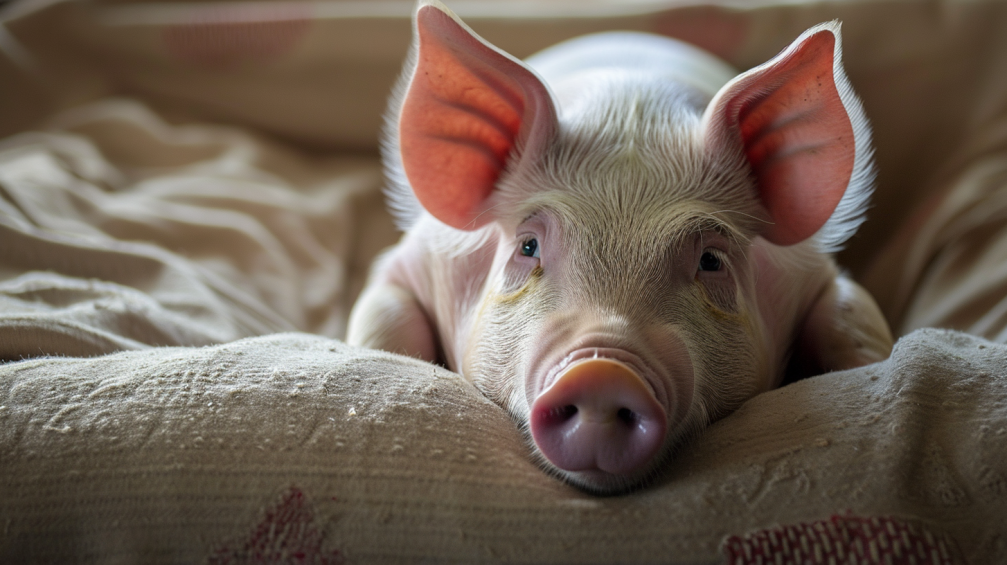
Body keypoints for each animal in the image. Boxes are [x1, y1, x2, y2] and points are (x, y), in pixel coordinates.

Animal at [346, 0, 890, 493]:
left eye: (711, 260)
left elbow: (854, 330)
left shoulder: (815, 275)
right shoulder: (409, 266)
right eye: (528, 247)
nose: (601, 373)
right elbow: (385, 334)